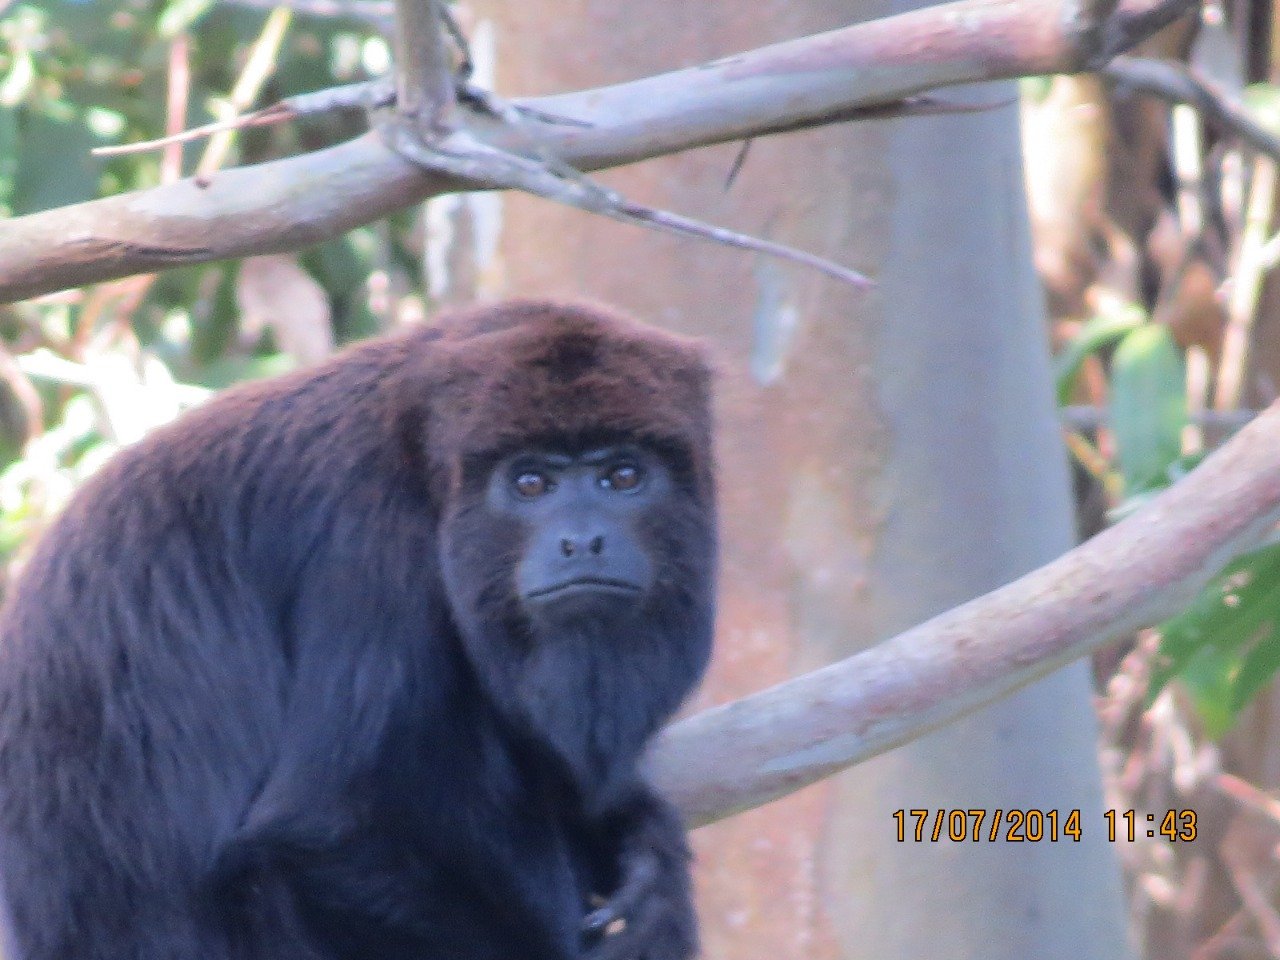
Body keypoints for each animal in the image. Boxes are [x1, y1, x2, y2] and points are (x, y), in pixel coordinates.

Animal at [0, 300, 716, 960]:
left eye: (623, 476)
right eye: (530, 483)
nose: (583, 540)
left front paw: (651, 860)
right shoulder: (372, 544)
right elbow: (327, 835)